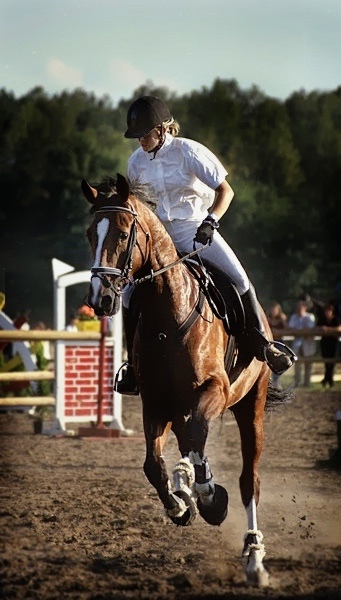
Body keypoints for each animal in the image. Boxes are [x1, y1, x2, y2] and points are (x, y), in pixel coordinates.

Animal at [80, 172, 292, 584]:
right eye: (89, 235)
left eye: (124, 232)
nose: (100, 299)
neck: (168, 314)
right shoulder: (155, 403)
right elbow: (154, 465)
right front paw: (180, 506)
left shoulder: (213, 391)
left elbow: (196, 447)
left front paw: (209, 497)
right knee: (188, 442)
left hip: (250, 406)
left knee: (248, 481)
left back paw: (254, 556)